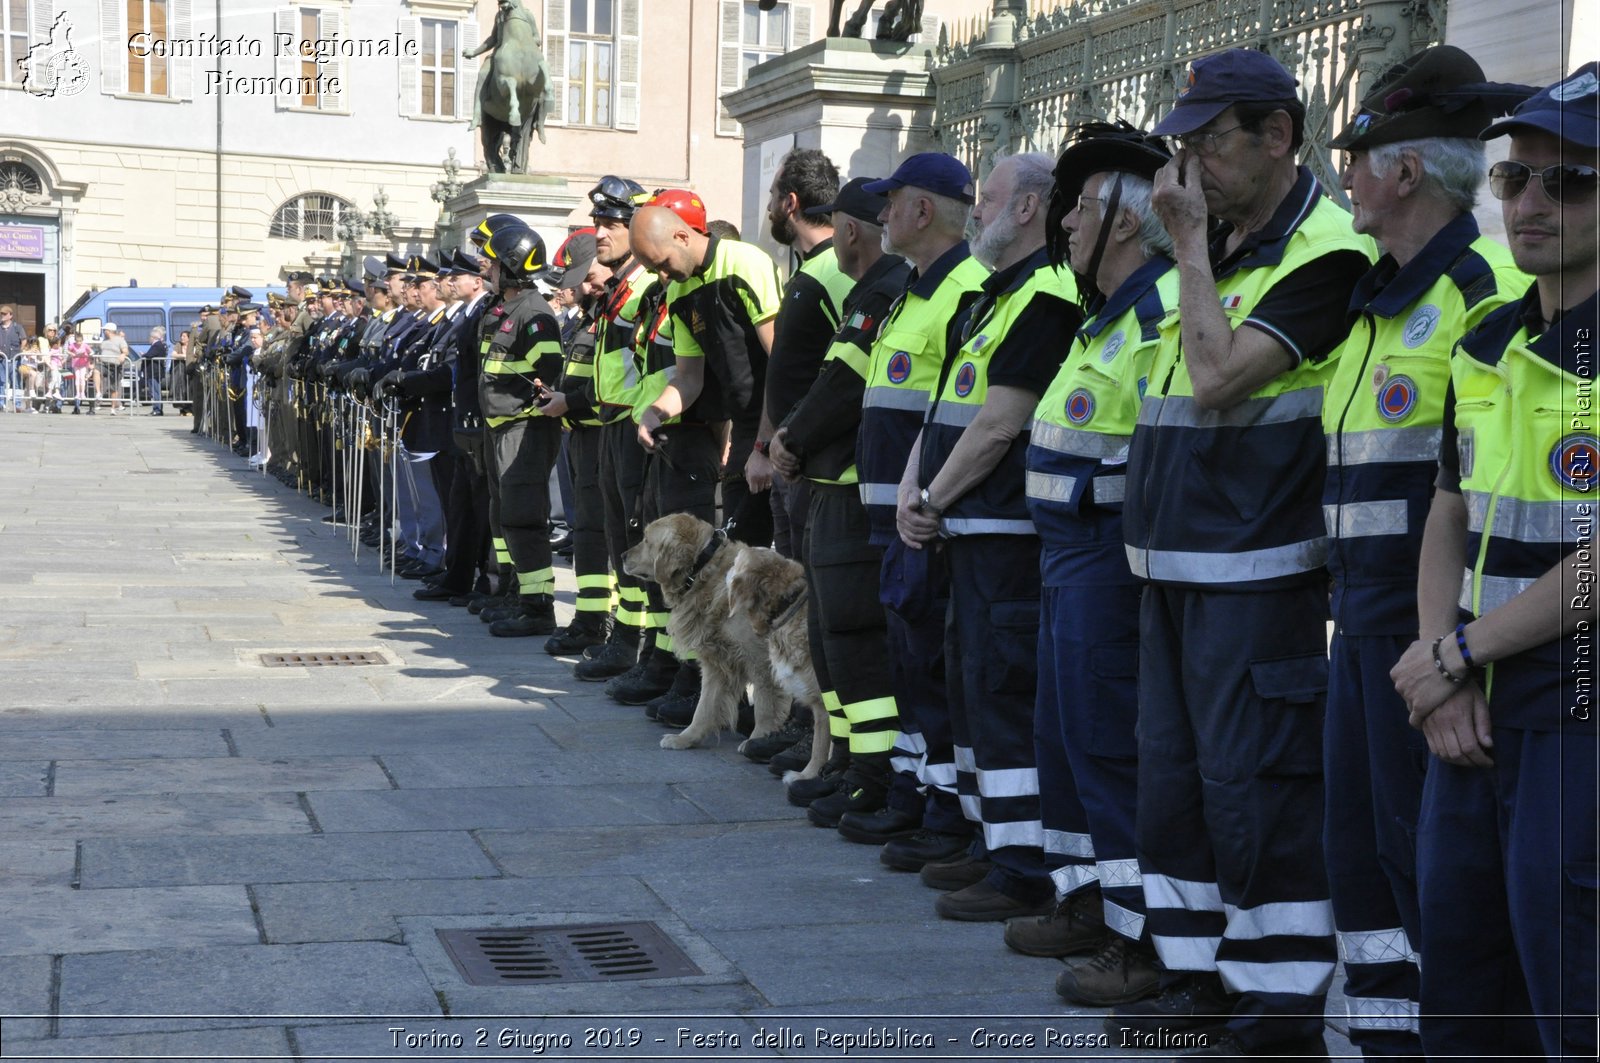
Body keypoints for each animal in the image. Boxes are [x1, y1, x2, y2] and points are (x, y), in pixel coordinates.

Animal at [620, 515, 790, 752]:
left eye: (646, 540)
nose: (622, 555)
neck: (704, 570)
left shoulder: (762, 662)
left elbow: (765, 708)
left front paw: (757, 741)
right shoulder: (718, 664)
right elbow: (704, 707)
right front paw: (685, 738)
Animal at [720, 547, 832, 781]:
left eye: (735, 563)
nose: (725, 567)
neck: (787, 606)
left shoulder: (824, 701)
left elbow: (821, 744)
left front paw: (807, 776)